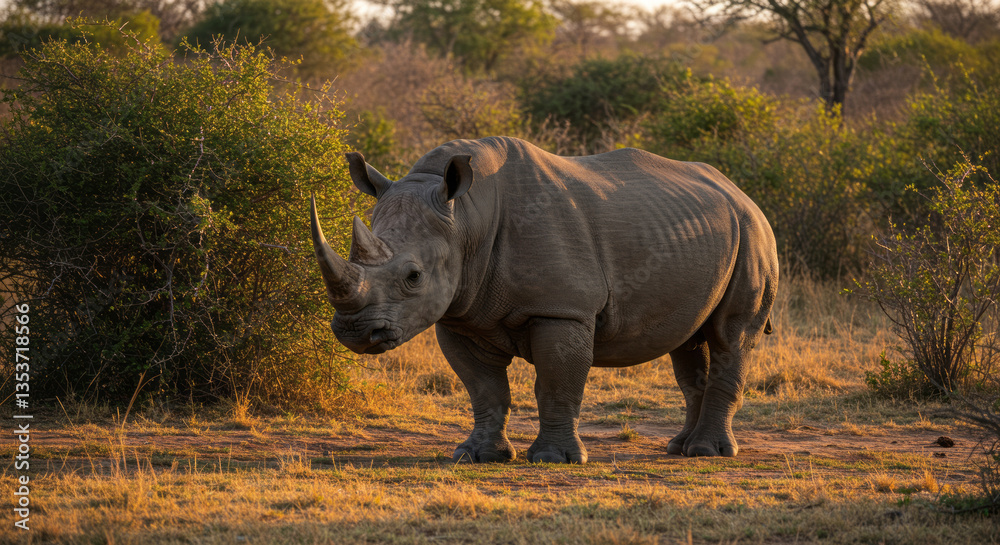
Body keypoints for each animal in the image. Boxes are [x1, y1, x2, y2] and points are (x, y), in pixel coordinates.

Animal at [310, 136, 778, 463]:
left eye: (413, 277)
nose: (355, 331)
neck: (466, 218)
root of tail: (741, 192)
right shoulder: (459, 314)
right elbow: (484, 388)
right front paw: (477, 456)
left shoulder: (562, 309)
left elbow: (556, 382)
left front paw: (555, 459)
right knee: (689, 341)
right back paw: (679, 448)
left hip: (753, 233)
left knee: (730, 335)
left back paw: (709, 453)